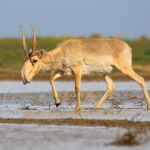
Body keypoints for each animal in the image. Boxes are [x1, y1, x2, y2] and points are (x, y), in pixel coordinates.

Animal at [20, 27, 150, 110]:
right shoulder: (63, 71)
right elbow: (51, 79)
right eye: (26, 58)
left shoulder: (77, 70)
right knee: (110, 87)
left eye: (34, 60)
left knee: (140, 79)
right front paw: (57, 103)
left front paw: (77, 107)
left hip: (125, 68)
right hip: (106, 73)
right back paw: (95, 107)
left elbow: (77, 87)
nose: (25, 79)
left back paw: (148, 105)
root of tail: (128, 47)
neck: (63, 51)